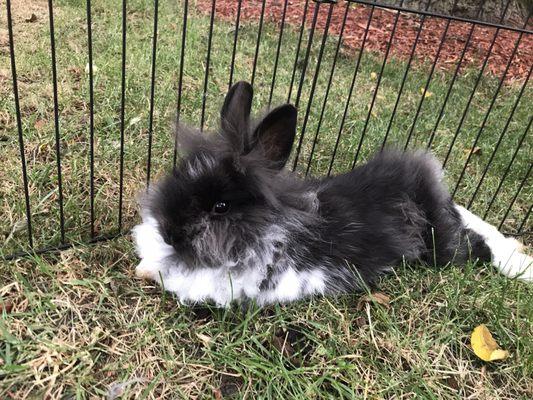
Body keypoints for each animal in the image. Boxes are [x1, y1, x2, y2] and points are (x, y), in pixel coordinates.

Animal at [131, 80, 528, 306]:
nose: (170, 232)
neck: (267, 228)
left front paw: (147, 271)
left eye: (220, 206)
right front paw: (144, 266)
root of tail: (427, 181)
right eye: (178, 177)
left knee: (479, 245)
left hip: (444, 248)